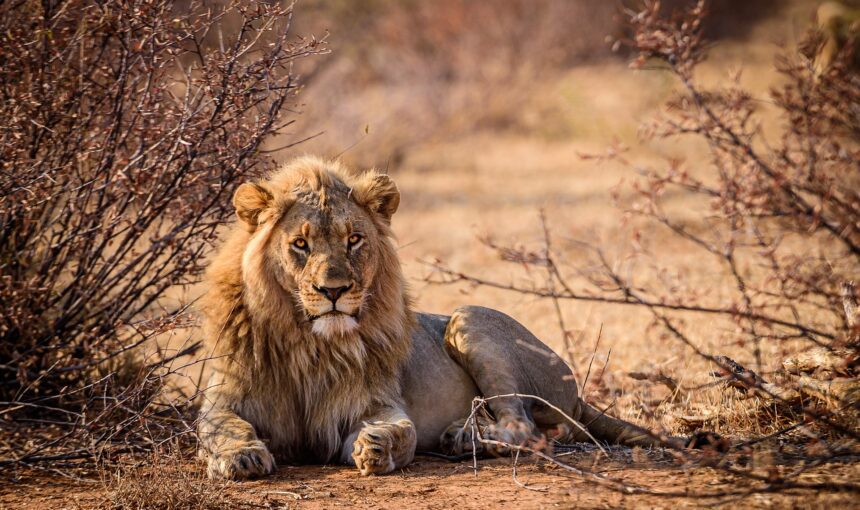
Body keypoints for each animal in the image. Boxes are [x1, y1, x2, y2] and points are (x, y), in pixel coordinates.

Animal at [200, 154, 684, 478]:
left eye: (354, 239)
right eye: (300, 244)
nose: (333, 291)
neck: (308, 342)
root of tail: (576, 390)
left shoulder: (374, 402)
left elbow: (403, 431)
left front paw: (376, 447)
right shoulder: (223, 397)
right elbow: (221, 427)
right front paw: (242, 456)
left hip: (470, 320)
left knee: (526, 427)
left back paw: (465, 438)